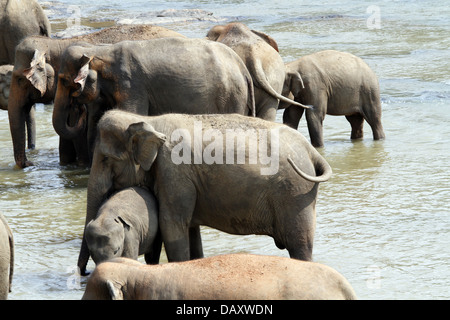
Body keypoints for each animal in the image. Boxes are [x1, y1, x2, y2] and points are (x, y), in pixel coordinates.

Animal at [51, 37, 255, 165]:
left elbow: (132, 114)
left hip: (232, 95)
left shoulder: (132, 84)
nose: (78, 108)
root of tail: (243, 69)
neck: (99, 49)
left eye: (64, 80)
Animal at [77, 110, 332, 276]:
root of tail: (311, 151)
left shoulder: (174, 171)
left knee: (300, 245)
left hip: (296, 193)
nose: (84, 273)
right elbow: (190, 228)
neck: (147, 121)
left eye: (105, 159)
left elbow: (172, 224)